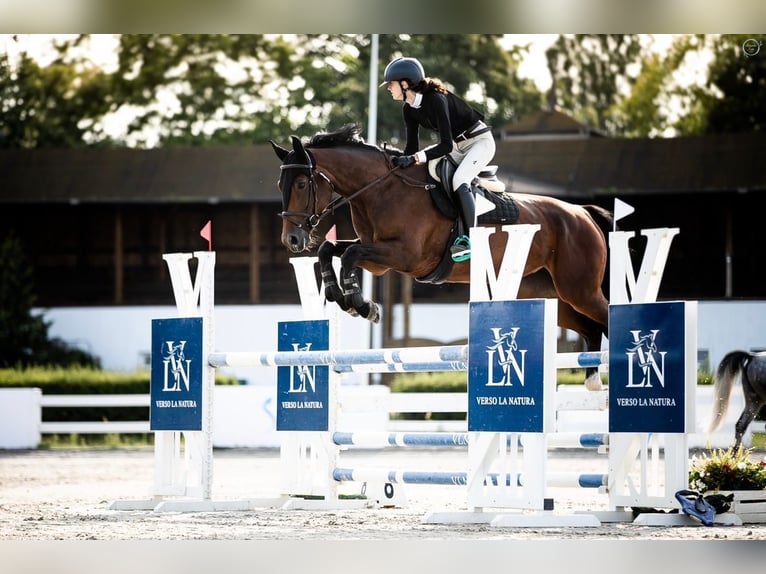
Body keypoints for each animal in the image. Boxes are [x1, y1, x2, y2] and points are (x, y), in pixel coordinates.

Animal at [270, 124, 613, 390]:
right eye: (280, 184)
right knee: (592, 328)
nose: (292, 240)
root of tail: (582, 213)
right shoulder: (378, 260)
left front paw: (361, 305)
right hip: (553, 296)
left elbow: (350, 254)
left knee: (606, 319)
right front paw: (342, 297)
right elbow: (331, 250)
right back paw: (593, 380)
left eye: (301, 184)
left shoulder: (405, 255)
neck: (381, 189)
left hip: (579, 289)